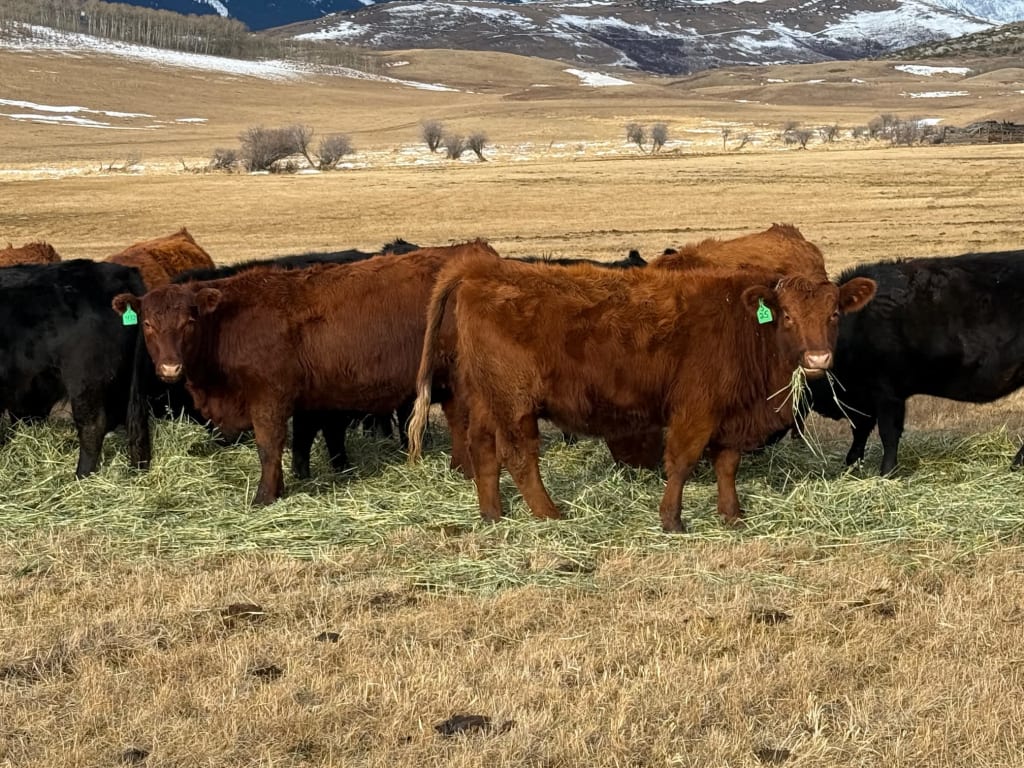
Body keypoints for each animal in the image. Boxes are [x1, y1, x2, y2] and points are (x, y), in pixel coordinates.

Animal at [113, 241, 500, 505]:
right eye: (147, 324)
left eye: (189, 322)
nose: (170, 368)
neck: (227, 324)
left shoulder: (269, 399)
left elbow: (270, 446)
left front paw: (264, 496)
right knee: (457, 422)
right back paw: (460, 469)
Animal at [407, 259, 875, 531]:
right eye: (788, 316)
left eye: (834, 314)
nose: (818, 358)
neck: (743, 326)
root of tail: (480, 271)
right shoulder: (696, 409)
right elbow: (682, 462)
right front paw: (672, 520)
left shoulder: (729, 414)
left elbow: (727, 465)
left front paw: (732, 514)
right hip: (515, 402)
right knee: (519, 457)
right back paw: (550, 515)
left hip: (488, 400)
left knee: (483, 450)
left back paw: (493, 515)